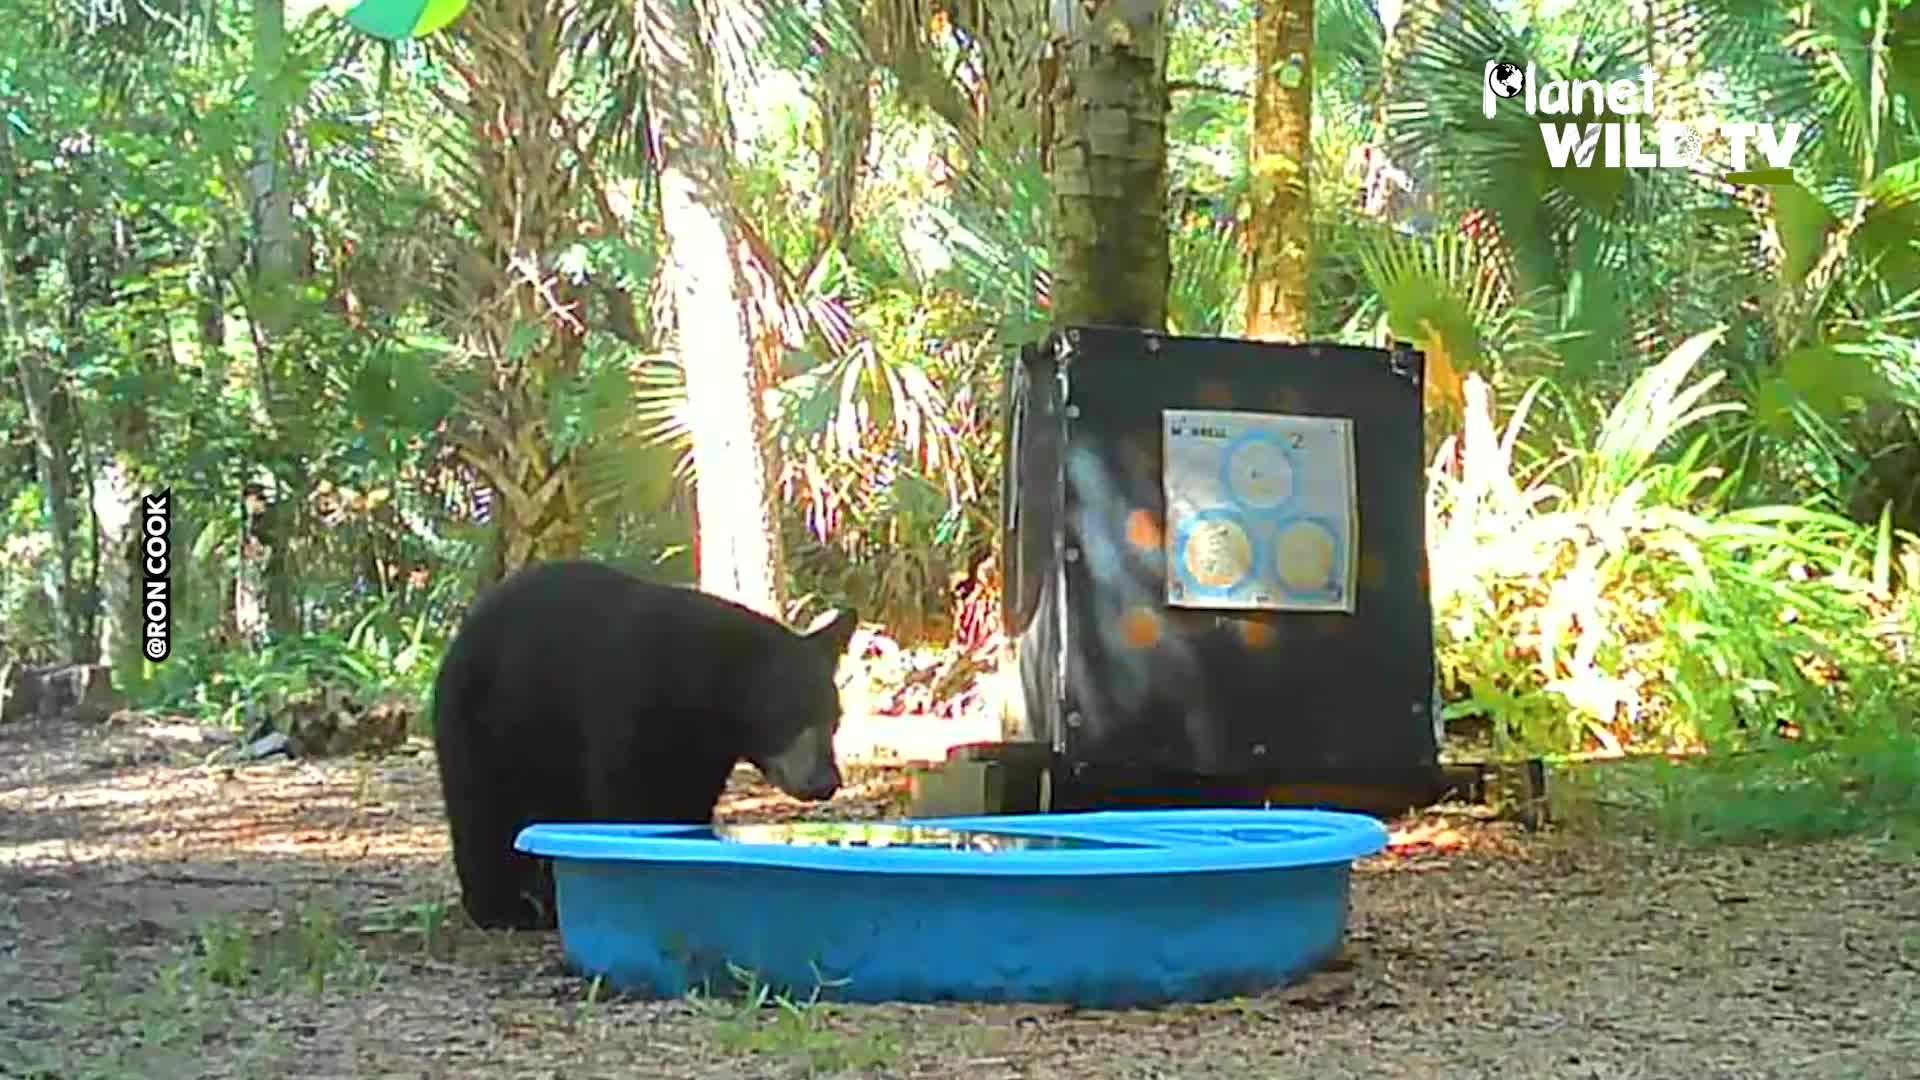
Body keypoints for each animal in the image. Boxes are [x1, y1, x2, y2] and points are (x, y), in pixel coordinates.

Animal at [430, 559, 858, 930]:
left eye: (835, 719)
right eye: (795, 715)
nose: (826, 781)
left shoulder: (704, 752)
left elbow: (686, 805)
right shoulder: (625, 704)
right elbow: (624, 799)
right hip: (477, 717)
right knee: (478, 806)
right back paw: (501, 908)